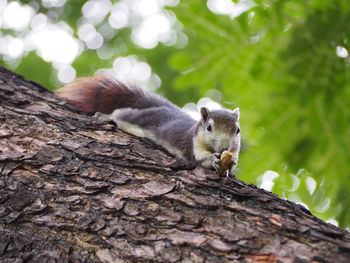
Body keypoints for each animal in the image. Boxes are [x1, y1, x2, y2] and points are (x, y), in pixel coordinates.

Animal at [59, 75, 241, 173]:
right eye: (209, 127)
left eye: (238, 130)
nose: (225, 147)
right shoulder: (192, 144)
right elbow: (200, 160)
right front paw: (213, 159)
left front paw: (231, 163)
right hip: (136, 119)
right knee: (121, 114)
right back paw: (105, 116)